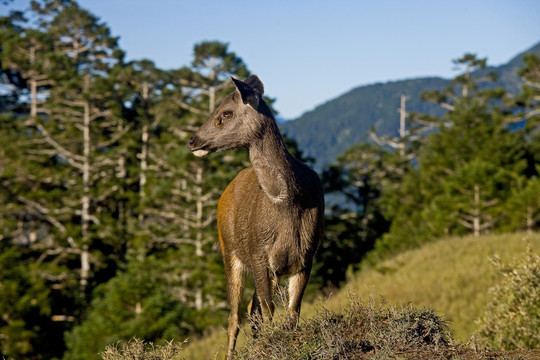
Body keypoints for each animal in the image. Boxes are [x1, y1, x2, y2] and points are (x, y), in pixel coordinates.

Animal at [188, 74, 322, 358]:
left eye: (226, 113)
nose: (192, 140)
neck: (290, 199)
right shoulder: (258, 251)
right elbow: (270, 311)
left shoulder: (306, 256)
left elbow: (292, 312)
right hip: (229, 249)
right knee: (234, 316)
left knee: (251, 309)